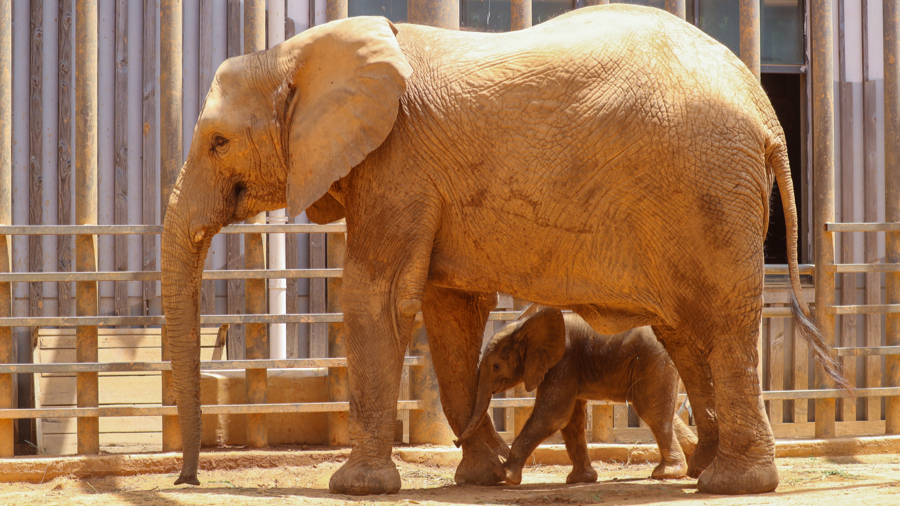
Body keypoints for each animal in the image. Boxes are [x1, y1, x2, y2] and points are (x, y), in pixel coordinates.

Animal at [457, 308, 698, 484]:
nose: (455, 441)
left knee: (651, 412)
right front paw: (581, 480)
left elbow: (553, 416)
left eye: (496, 367)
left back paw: (667, 474)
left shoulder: (563, 361)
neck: (525, 324)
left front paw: (503, 475)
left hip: (653, 359)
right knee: (662, 412)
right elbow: (571, 420)